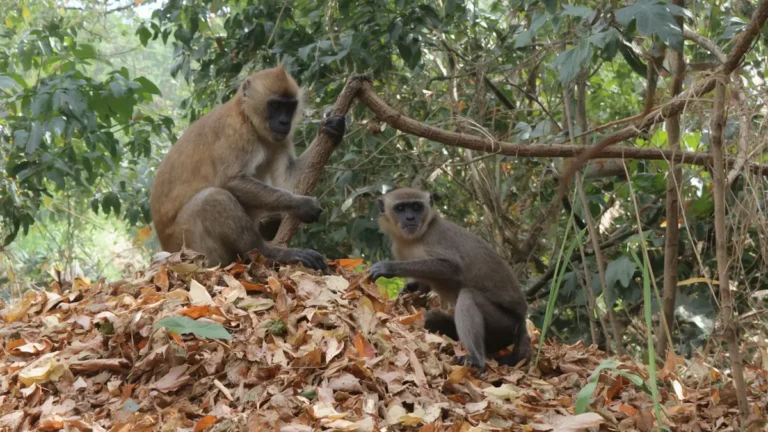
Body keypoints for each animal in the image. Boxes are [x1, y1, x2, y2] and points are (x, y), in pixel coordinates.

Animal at [150, 65, 346, 271]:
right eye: (275, 106)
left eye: (289, 107)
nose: (284, 122)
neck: (248, 118)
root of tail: (168, 249)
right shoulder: (236, 132)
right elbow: (231, 181)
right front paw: (301, 204)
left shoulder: (277, 139)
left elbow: (288, 180)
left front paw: (330, 128)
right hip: (190, 248)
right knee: (211, 198)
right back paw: (272, 252)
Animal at [368, 188, 531, 371]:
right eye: (401, 208)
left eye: (416, 207)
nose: (410, 218)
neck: (415, 239)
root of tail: (522, 321)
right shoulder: (398, 247)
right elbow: (424, 285)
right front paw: (410, 289)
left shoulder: (435, 236)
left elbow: (452, 267)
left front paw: (389, 268)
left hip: (506, 323)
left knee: (468, 296)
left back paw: (477, 359)